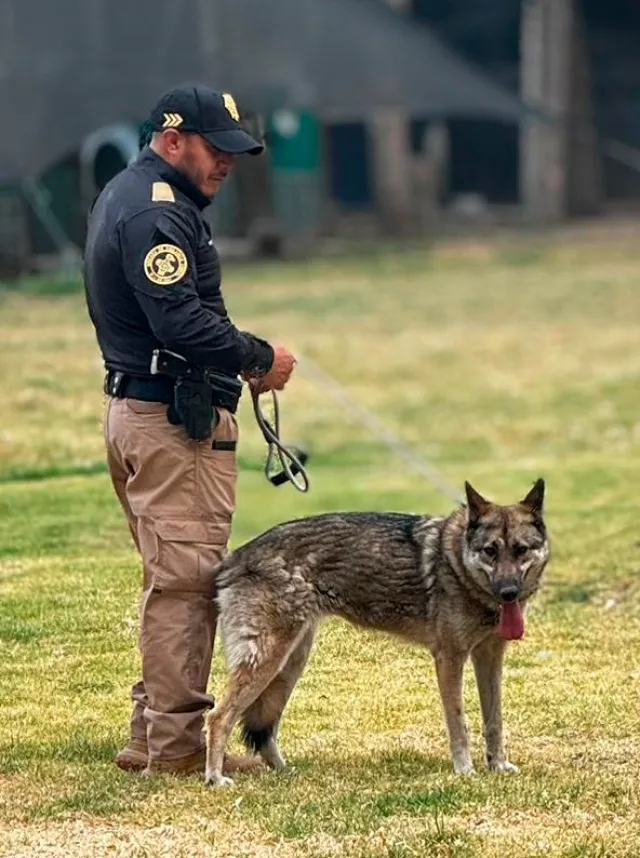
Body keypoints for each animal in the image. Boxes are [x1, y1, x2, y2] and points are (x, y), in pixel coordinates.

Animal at [205, 478, 552, 784]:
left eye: (521, 550)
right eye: (490, 551)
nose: (508, 592)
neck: (456, 564)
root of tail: (233, 557)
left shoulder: (490, 658)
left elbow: (494, 721)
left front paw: (498, 765)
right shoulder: (450, 659)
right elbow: (459, 723)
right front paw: (465, 771)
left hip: (290, 663)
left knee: (266, 729)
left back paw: (285, 773)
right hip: (268, 660)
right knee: (218, 718)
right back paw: (215, 778)